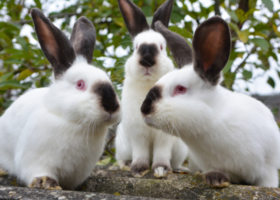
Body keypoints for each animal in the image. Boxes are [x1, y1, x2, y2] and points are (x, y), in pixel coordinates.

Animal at [115, 0, 189, 177]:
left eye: (162, 47)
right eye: (135, 47)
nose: (147, 60)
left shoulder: (164, 135)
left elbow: (161, 153)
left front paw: (160, 170)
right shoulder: (137, 134)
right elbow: (140, 153)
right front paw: (138, 170)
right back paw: (125, 164)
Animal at [141, 17, 280, 188]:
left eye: (180, 89)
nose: (144, 109)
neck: (212, 121)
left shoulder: (267, 172)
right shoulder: (211, 163)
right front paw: (216, 179)